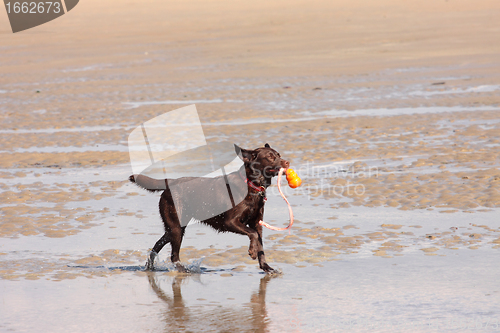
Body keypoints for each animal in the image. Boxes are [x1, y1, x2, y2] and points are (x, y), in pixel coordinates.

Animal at [130, 143, 290, 272]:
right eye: (270, 157)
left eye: (279, 155)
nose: (287, 162)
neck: (251, 184)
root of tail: (170, 183)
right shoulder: (230, 222)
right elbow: (253, 235)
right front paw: (252, 251)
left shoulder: (257, 223)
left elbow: (260, 243)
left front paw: (266, 267)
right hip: (176, 227)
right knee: (174, 255)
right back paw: (184, 270)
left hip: (175, 227)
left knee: (158, 244)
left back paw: (150, 267)